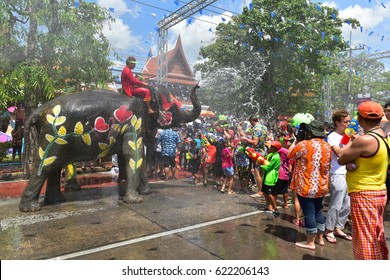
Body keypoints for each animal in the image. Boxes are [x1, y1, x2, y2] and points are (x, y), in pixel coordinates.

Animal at [19, 84, 201, 211]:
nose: (198, 85)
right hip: (54, 135)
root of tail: (39, 110)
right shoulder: (133, 123)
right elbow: (134, 154)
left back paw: (56, 200)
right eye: (174, 107)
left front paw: (145, 192)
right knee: (46, 164)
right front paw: (136, 200)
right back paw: (31, 208)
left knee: (54, 167)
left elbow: (136, 156)